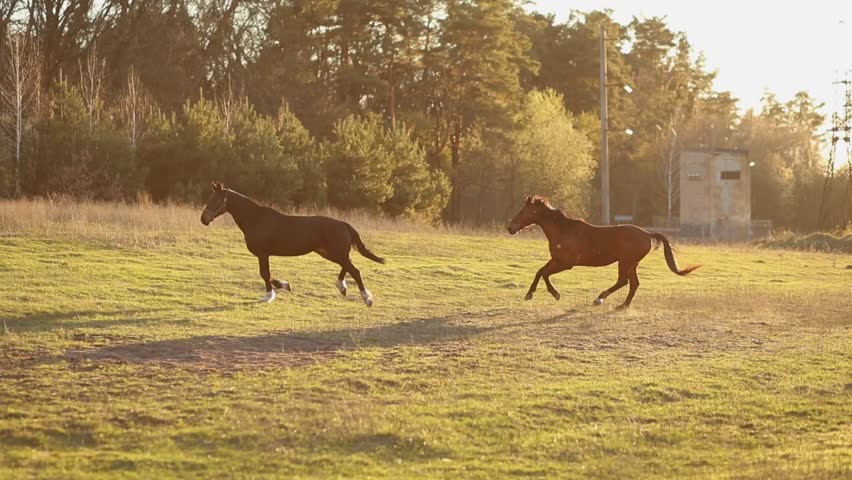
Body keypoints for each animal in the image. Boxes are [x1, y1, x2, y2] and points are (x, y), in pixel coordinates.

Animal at [200, 181, 385, 306]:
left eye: (216, 200)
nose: (204, 219)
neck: (256, 220)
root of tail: (344, 224)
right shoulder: (264, 254)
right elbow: (267, 274)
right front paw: (284, 286)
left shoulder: (263, 253)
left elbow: (265, 274)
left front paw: (270, 295)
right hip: (328, 252)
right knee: (348, 267)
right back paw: (342, 287)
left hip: (336, 253)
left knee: (355, 270)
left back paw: (367, 299)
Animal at [507, 195, 700, 309]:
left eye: (524, 211)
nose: (510, 228)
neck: (563, 230)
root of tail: (647, 234)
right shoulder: (556, 260)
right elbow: (540, 272)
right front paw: (531, 294)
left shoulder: (566, 263)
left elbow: (545, 274)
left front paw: (553, 294)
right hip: (632, 264)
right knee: (634, 284)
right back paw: (622, 306)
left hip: (625, 263)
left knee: (623, 281)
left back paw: (600, 298)